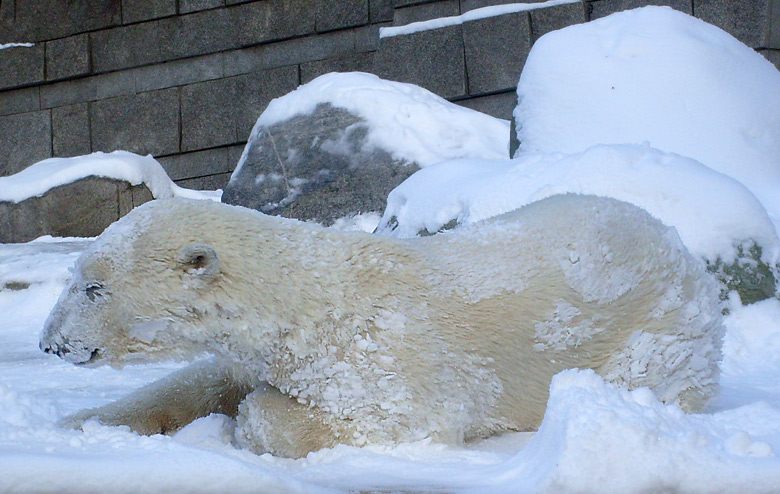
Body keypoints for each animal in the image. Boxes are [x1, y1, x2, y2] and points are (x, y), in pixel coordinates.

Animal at [41, 195, 724, 458]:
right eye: (75, 275)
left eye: (93, 286)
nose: (50, 344)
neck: (307, 302)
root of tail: (680, 248)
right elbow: (208, 380)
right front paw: (79, 423)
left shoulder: (390, 356)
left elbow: (382, 418)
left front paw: (253, 423)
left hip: (656, 333)